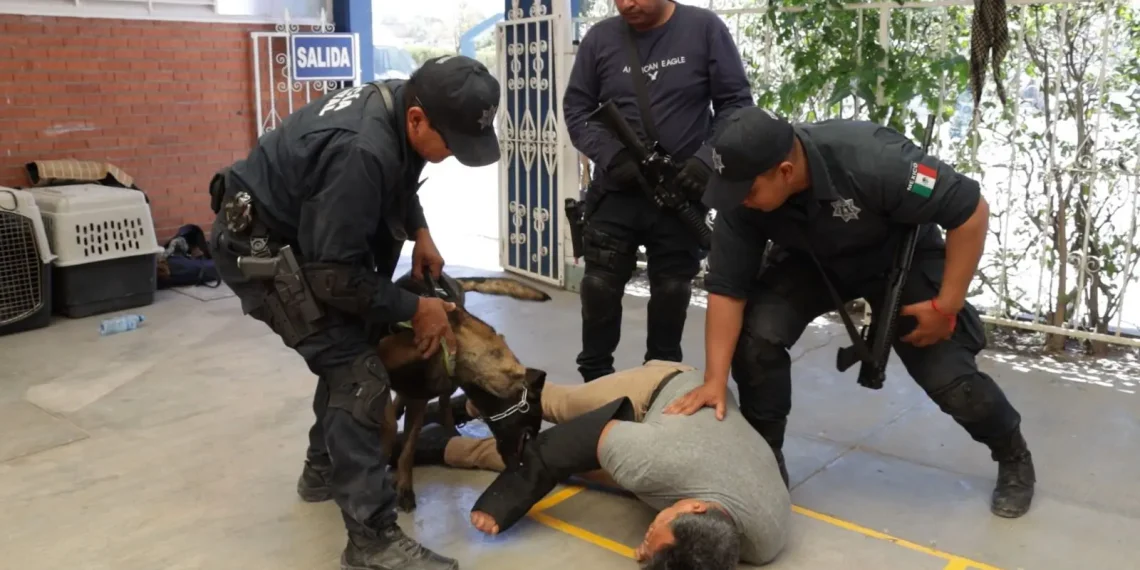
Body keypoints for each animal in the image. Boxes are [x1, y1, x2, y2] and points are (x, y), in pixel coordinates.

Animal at [376, 271, 549, 513]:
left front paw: (403, 487)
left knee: (442, 404)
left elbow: (408, 450)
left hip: (442, 388)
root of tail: (453, 280)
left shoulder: (420, 397)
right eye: (528, 432)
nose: (520, 468)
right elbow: (388, 425)